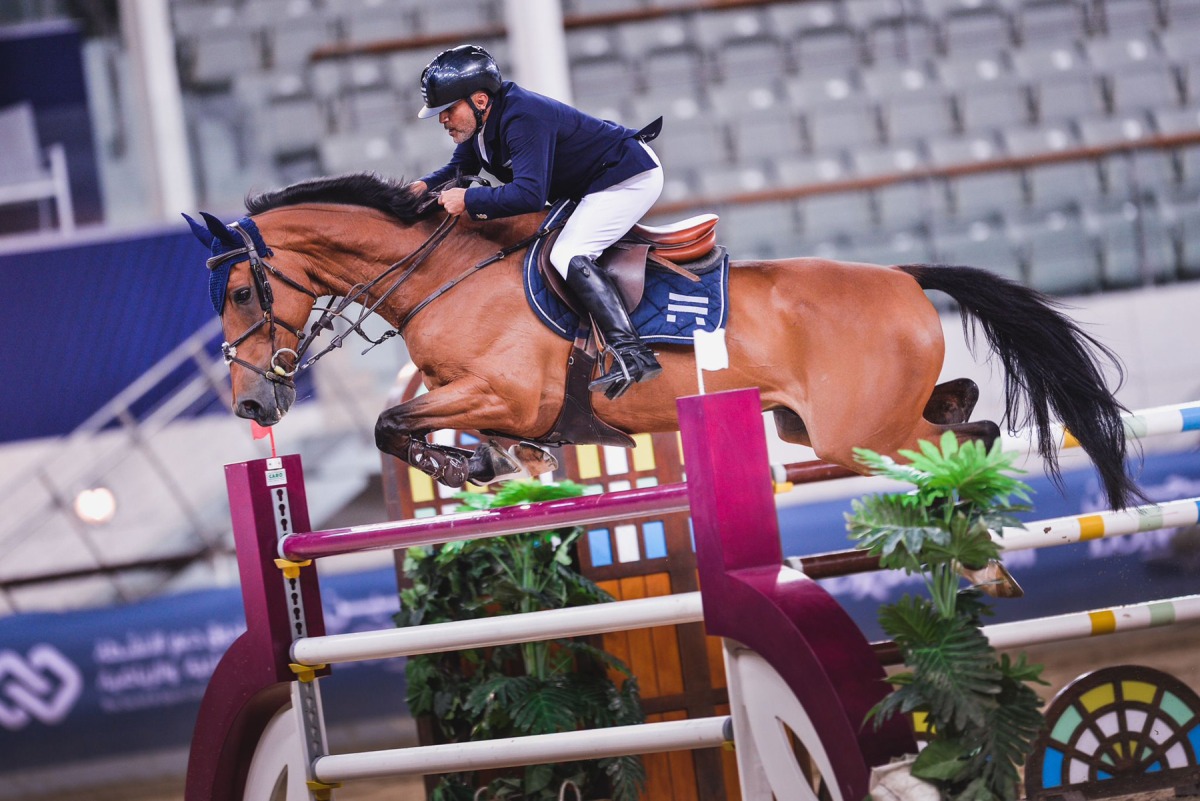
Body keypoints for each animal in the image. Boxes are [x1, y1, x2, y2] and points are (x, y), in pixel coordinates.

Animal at [184, 175, 1132, 510]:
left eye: (240, 292)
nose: (251, 400)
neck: (446, 272)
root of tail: (901, 274)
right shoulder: (503, 403)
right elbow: (438, 427)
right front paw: (491, 462)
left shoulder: (506, 391)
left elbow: (393, 424)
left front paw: (463, 466)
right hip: (816, 425)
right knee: (965, 414)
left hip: (853, 432)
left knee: (957, 438)